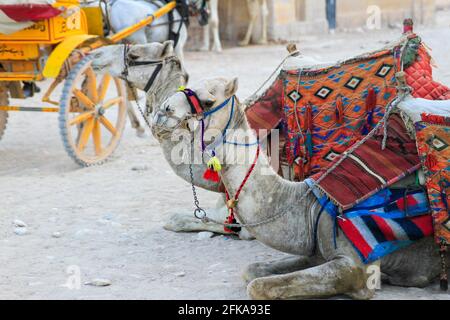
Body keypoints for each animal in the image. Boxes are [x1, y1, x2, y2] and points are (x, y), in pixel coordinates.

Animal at [150, 76, 450, 298]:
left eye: (208, 99)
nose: (162, 111)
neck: (309, 206)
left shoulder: (355, 265)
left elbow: (258, 287)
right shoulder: (314, 251)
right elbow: (252, 270)